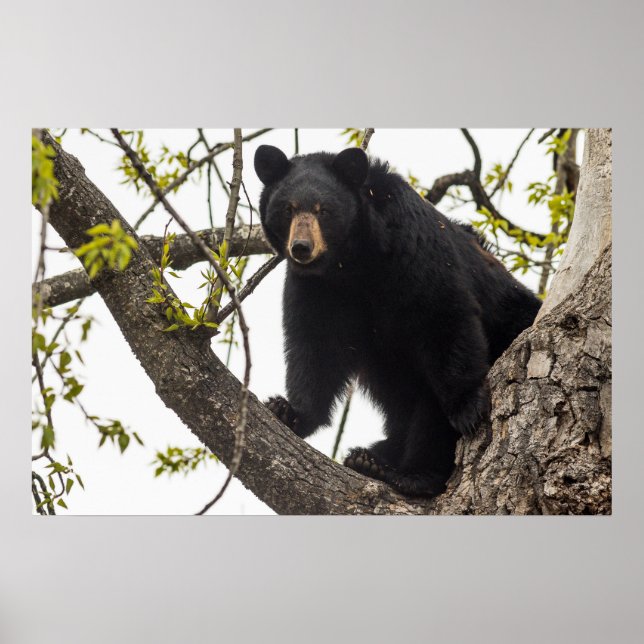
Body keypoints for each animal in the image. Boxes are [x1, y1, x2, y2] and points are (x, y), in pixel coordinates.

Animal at [254, 144, 541, 497]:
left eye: (324, 210)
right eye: (288, 209)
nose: (301, 248)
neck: (352, 263)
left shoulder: (413, 248)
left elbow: (443, 315)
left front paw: (467, 407)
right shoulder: (317, 288)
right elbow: (316, 346)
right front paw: (289, 411)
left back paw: (409, 473)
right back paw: (370, 457)